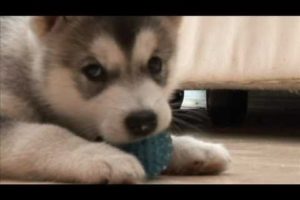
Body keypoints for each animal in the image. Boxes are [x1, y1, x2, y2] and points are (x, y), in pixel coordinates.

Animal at [0, 16, 231, 184]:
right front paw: (102, 156)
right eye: (94, 71)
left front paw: (195, 148)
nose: (143, 121)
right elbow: (47, 133)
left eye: (155, 64)